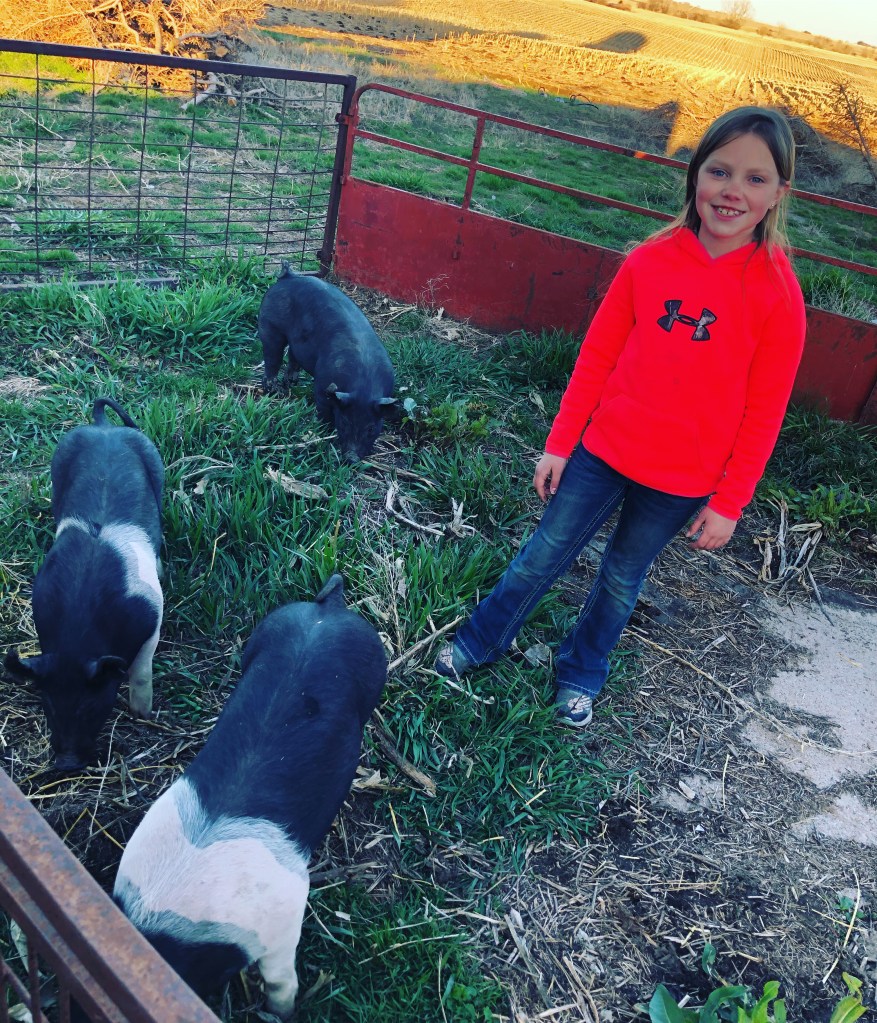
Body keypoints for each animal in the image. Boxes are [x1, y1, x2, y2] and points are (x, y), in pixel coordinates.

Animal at [4, 396, 164, 770]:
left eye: (93, 706)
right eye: (48, 704)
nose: (66, 763)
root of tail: (103, 427)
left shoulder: (154, 615)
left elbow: (142, 671)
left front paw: (143, 714)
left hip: (154, 459)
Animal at [113, 574, 388, 1018]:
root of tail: (327, 610)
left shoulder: (280, 924)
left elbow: (281, 979)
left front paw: (284, 1012)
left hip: (374, 662)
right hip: (264, 634)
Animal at [258, 264, 397, 461]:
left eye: (371, 428)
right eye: (345, 422)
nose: (351, 458)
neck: (364, 383)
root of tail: (289, 276)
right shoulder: (323, 385)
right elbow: (322, 410)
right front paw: (321, 430)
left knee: (293, 355)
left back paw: (292, 381)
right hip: (270, 325)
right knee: (272, 357)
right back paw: (273, 389)